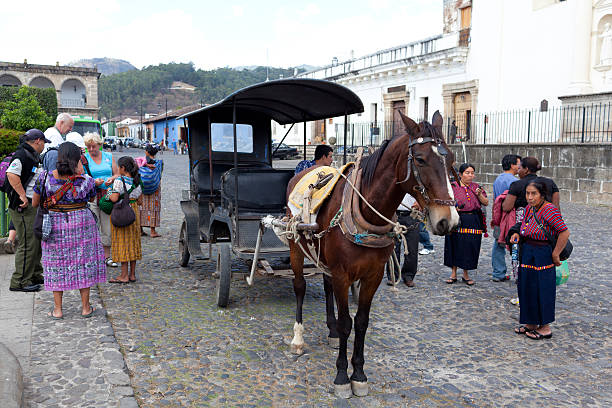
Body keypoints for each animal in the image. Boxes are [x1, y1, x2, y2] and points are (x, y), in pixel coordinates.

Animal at [286, 111, 460, 398]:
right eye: (420, 159)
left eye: (452, 159)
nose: (449, 220)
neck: (365, 211)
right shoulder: (343, 274)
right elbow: (347, 323)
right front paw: (342, 376)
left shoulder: (373, 275)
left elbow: (362, 322)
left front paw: (358, 374)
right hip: (295, 245)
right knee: (299, 286)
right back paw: (298, 338)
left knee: (326, 285)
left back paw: (330, 331)